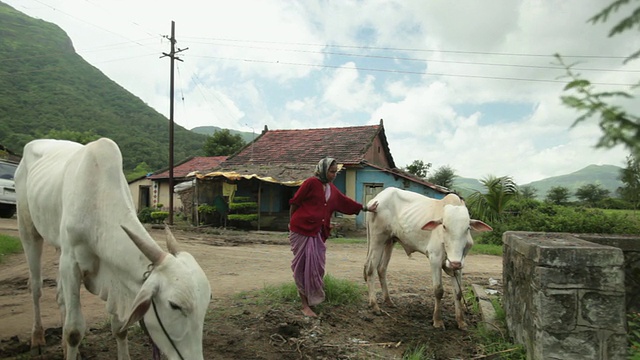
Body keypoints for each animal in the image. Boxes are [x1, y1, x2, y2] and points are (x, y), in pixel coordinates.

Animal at [15, 139, 212, 360]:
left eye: (206, 304)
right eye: (174, 305)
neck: (98, 202)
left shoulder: (114, 277)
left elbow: (119, 328)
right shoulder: (71, 264)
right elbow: (73, 331)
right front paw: (68, 341)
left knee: (60, 297)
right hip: (28, 230)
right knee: (36, 287)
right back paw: (37, 339)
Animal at [362, 187, 492, 330]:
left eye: (467, 228)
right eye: (444, 226)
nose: (454, 263)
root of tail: (376, 199)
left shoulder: (460, 263)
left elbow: (458, 293)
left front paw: (461, 321)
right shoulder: (435, 259)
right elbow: (438, 290)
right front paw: (438, 321)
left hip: (390, 241)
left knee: (381, 269)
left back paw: (388, 301)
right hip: (377, 239)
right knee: (370, 269)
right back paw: (374, 305)